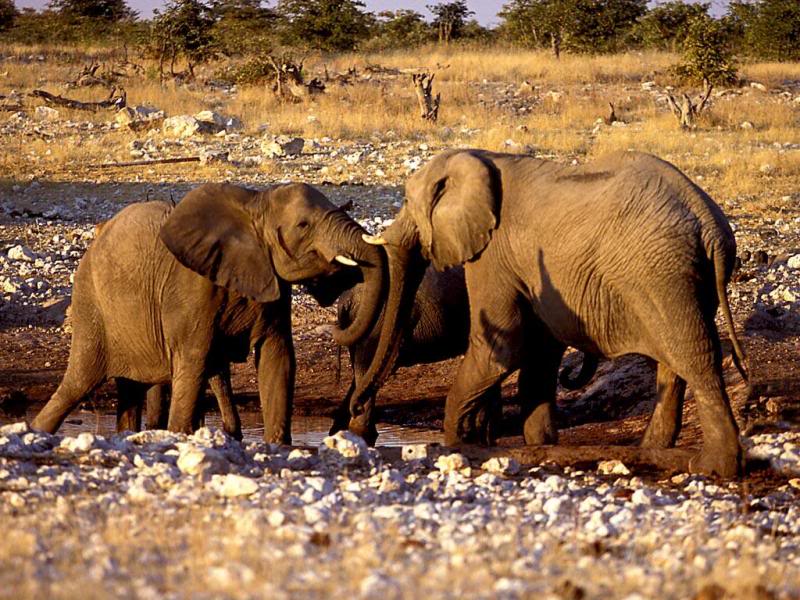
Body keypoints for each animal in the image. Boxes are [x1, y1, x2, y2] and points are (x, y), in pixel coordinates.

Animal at [32, 182, 385, 443]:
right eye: (303, 225)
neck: (254, 206)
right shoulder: (191, 288)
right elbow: (194, 360)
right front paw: (178, 437)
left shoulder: (273, 284)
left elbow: (278, 359)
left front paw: (277, 447)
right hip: (91, 305)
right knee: (78, 383)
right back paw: (36, 431)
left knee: (128, 390)